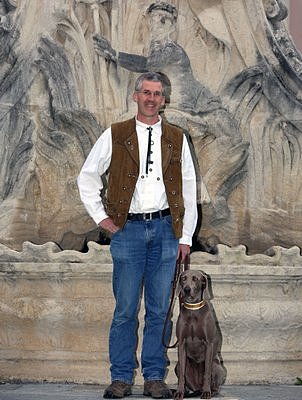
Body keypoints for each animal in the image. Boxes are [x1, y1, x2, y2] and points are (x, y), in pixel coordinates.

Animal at [173, 270, 225, 398]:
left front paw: (207, 392)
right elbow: (182, 376)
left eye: (195, 279)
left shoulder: (209, 344)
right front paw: (179, 392)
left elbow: (206, 372)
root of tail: (198, 387)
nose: (186, 289)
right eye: (183, 278)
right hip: (178, 366)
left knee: (213, 380)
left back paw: (210, 391)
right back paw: (187, 391)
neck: (193, 309)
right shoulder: (181, 343)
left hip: (217, 366)